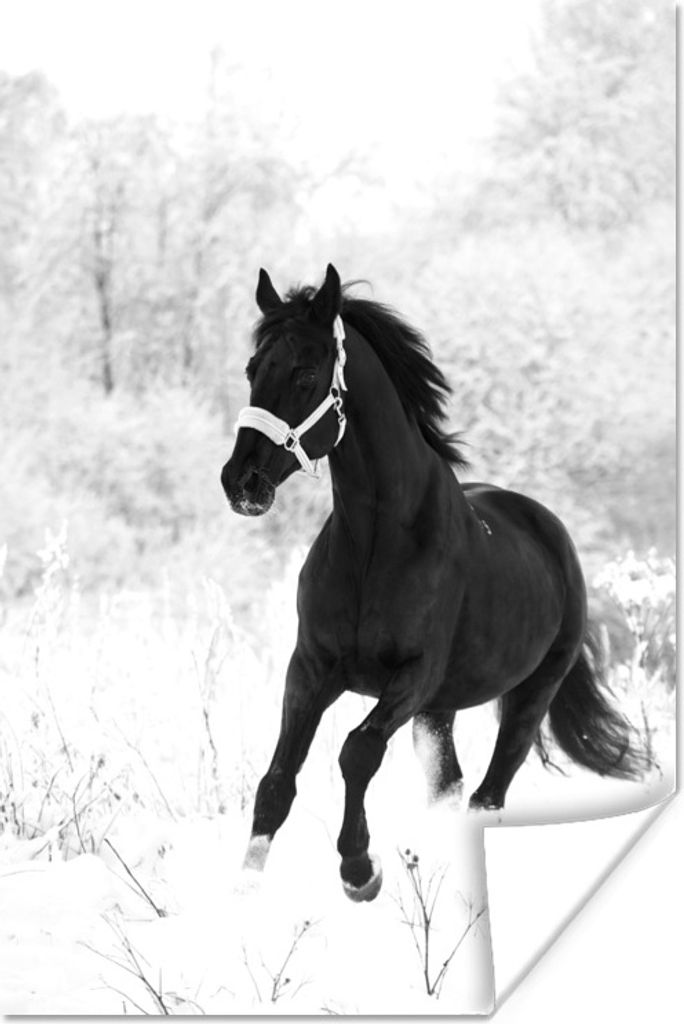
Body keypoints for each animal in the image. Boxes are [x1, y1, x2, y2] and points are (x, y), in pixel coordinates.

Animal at [220, 264, 645, 903]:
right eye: (253, 369)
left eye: (305, 372)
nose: (240, 482)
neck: (376, 546)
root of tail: (551, 532)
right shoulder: (313, 668)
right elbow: (277, 778)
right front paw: (245, 884)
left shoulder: (412, 677)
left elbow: (357, 752)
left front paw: (360, 871)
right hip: (439, 713)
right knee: (452, 785)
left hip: (528, 697)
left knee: (488, 792)